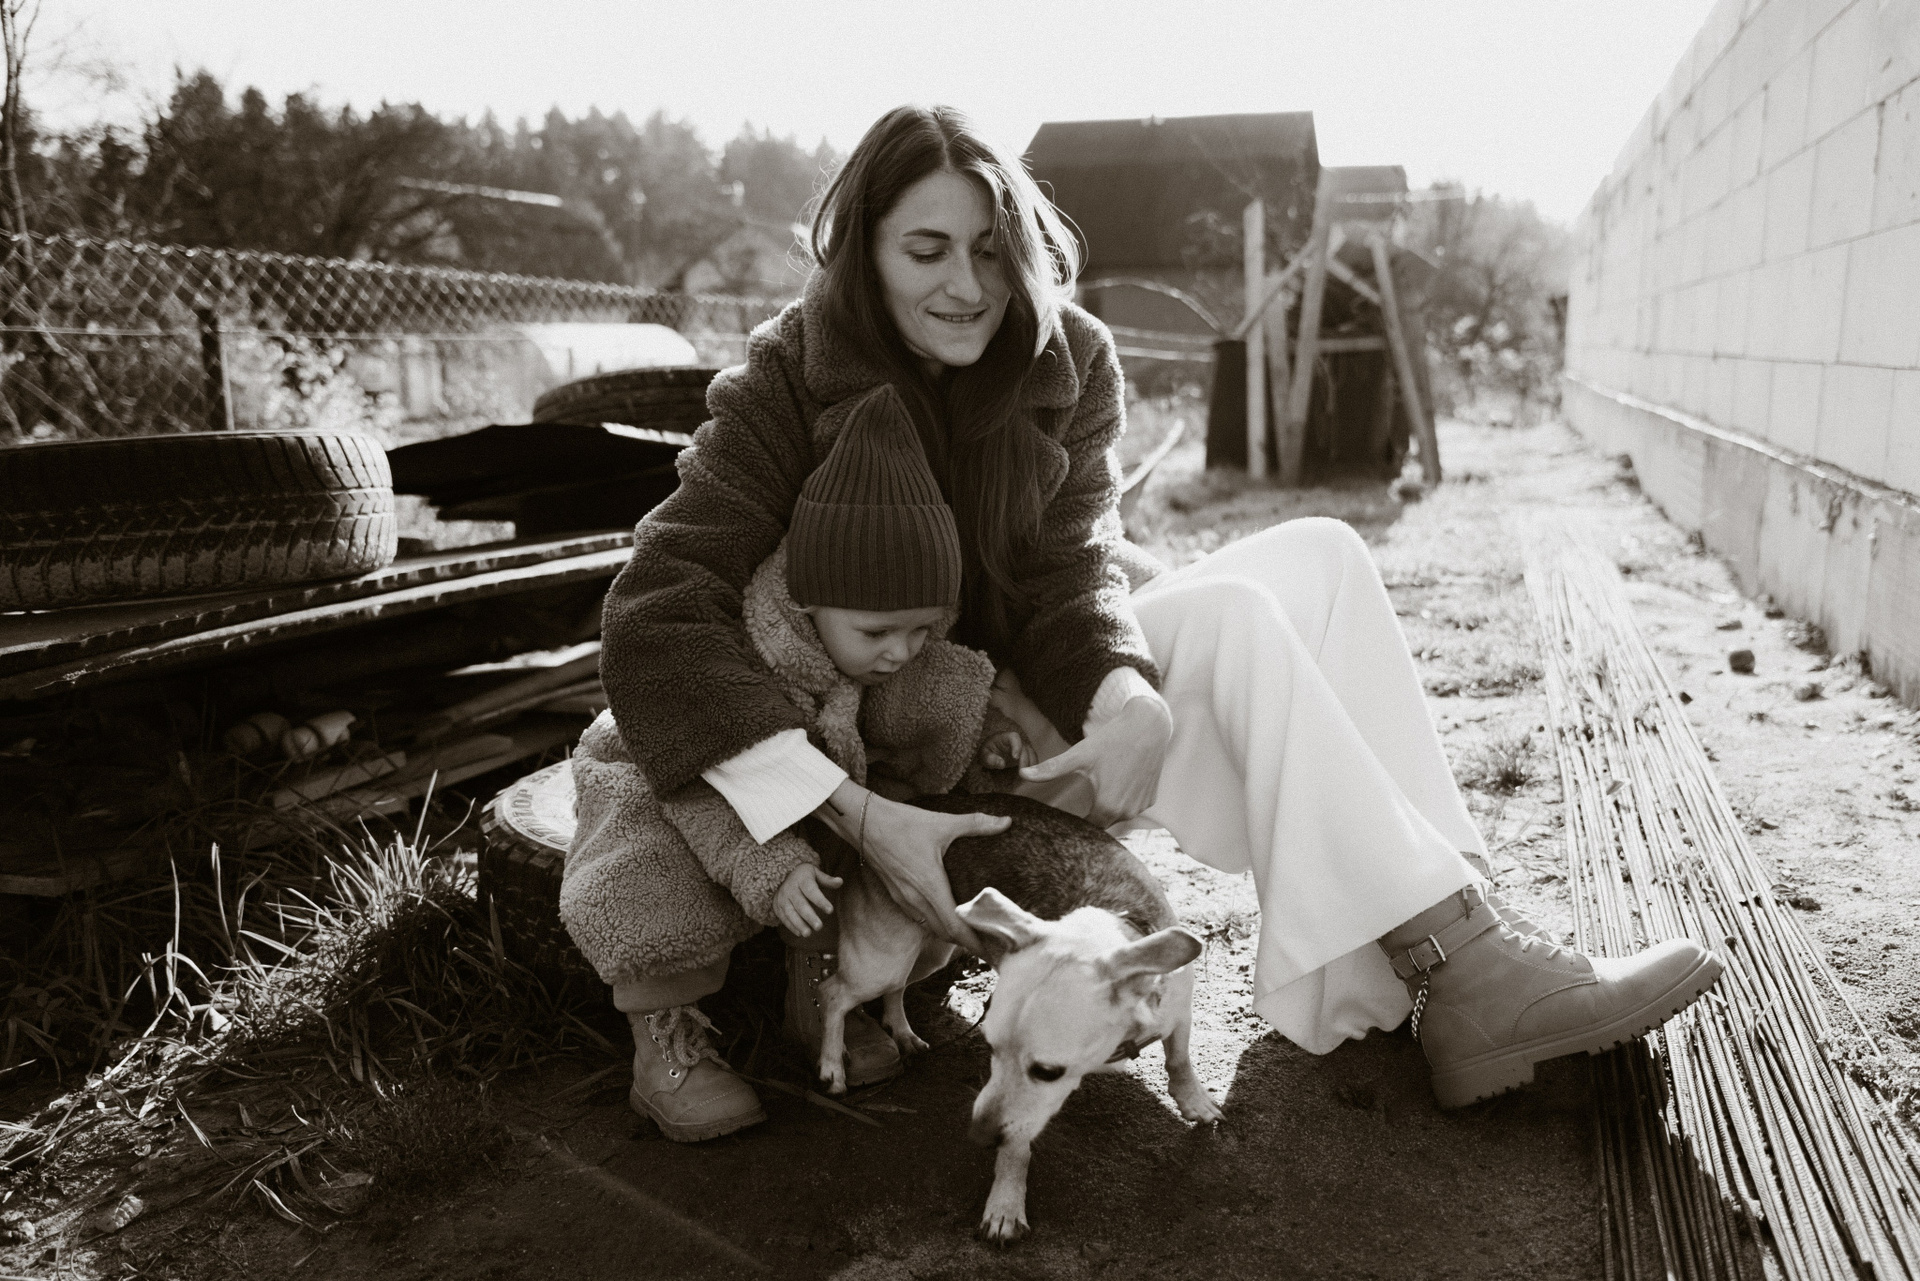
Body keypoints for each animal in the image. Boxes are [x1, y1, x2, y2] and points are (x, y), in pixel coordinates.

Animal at [812, 793, 1223, 1244]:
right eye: (990, 1049)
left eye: (1047, 1071)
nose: (977, 1136)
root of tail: (913, 801)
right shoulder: (1013, 1117)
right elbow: (1015, 1148)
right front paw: (1006, 1203)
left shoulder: (1178, 1011)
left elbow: (1179, 1059)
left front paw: (1195, 1101)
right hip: (882, 960)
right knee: (833, 994)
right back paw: (832, 1066)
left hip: (930, 949)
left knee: (896, 988)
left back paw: (902, 1032)